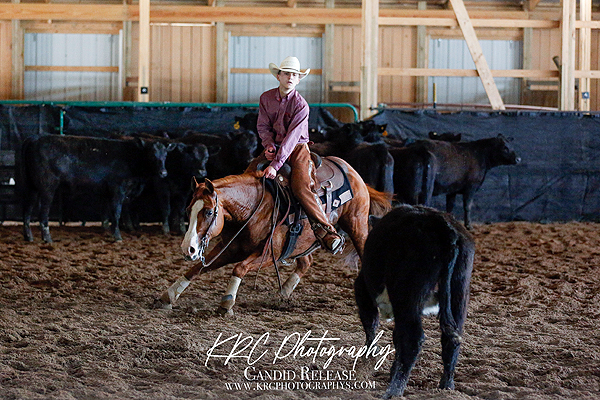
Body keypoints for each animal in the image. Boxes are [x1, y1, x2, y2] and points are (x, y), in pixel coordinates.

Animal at [21, 134, 171, 242]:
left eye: (165, 155)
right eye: (151, 154)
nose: (163, 173)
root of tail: (34, 138)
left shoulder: (107, 192)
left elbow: (106, 213)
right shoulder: (118, 190)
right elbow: (116, 213)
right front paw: (117, 236)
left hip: (31, 187)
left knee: (27, 210)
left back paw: (29, 237)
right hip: (47, 187)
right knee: (43, 213)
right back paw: (47, 238)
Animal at [155, 157, 392, 316]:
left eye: (208, 212)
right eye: (188, 210)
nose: (188, 249)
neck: (254, 208)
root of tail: (351, 170)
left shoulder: (271, 253)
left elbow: (239, 268)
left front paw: (227, 303)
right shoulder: (231, 248)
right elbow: (198, 268)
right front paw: (169, 295)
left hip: (357, 226)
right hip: (303, 242)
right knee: (306, 262)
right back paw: (283, 292)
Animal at [354, 205, 476, 398]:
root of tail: (445, 228)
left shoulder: (363, 289)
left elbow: (371, 325)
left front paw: (369, 357)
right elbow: (396, 337)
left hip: (406, 295)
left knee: (413, 338)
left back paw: (394, 391)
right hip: (459, 291)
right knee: (451, 339)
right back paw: (446, 385)